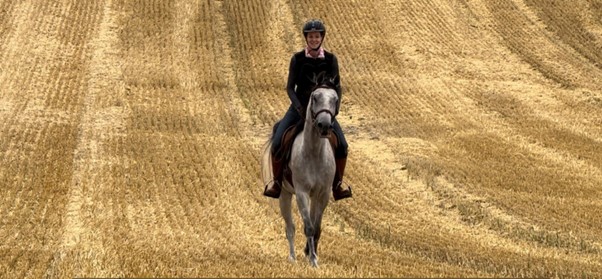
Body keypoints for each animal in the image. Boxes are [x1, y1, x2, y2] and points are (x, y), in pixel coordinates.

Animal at [260, 79, 340, 270]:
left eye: (335, 99)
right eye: (315, 97)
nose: (324, 125)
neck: (314, 152)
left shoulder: (323, 193)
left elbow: (316, 227)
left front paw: (312, 255)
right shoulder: (301, 192)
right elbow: (308, 227)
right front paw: (312, 260)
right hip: (284, 194)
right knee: (290, 227)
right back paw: (292, 257)